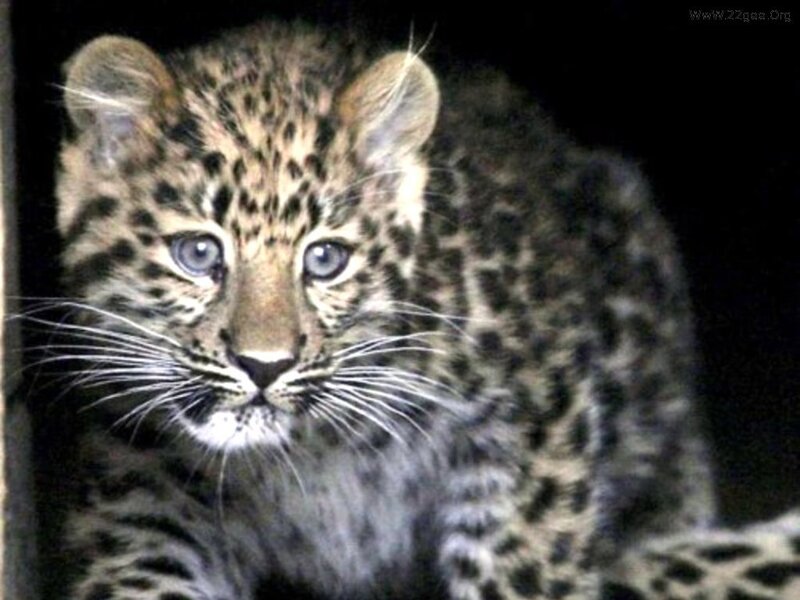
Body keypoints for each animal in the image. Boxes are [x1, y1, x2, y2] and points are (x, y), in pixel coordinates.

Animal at [41, 18, 799, 600]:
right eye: (198, 253)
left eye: (325, 260)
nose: (264, 366)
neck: (305, 451)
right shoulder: (144, 488)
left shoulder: (534, 420)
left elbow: (521, 568)